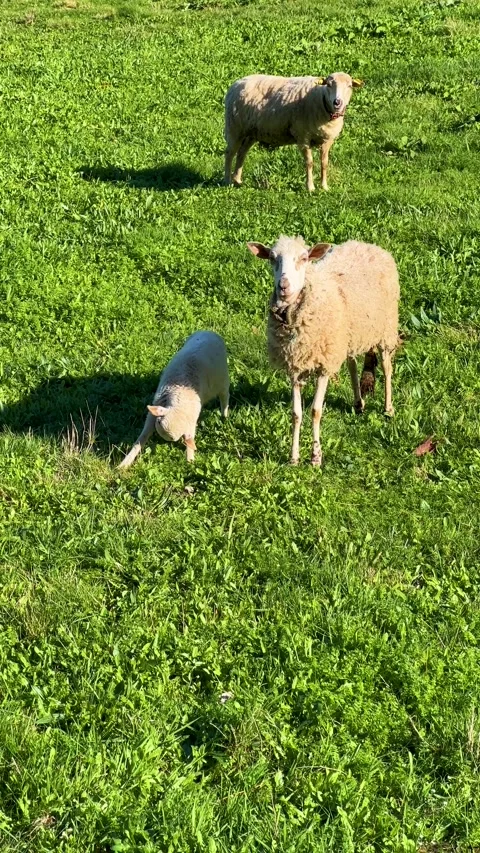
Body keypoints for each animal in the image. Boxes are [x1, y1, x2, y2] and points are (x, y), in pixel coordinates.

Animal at [118, 331, 229, 468]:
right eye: (159, 422)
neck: (179, 399)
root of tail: (210, 332)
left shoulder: (190, 422)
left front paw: (190, 461)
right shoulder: (153, 413)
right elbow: (141, 438)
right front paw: (124, 464)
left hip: (223, 380)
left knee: (225, 397)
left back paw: (224, 416)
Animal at [224, 72, 363, 191]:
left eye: (349, 86)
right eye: (328, 85)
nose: (337, 102)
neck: (321, 100)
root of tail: (237, 83)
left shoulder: (327, 139)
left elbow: (324, 163)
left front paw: (324, 187)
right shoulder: (303, 136)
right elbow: (309, 163)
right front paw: (310, 187)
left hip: (251, 132)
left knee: (242, 152)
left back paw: (237, 180)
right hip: (234, 127)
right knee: (229, 153)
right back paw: (227, 180)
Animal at [247, 236, 399, 466]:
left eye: (304, 258)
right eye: (272, 258)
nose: (283, 286)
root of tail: (366, 244)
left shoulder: (324, 366)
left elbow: (316, 411)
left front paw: (316, 457)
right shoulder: (295, 367)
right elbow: (296, 414)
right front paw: (294, 457)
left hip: (385, 328)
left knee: (387, 367)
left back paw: (388, 408)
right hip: (348, 335)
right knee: (352, 364)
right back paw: (358, 403)